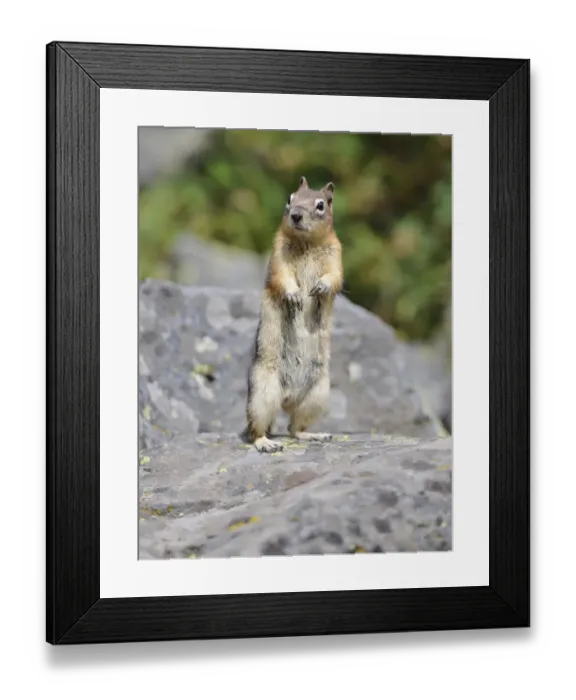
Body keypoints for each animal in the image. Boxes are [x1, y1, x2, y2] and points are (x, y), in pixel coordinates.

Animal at [245, 176, 343, 453]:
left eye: (322, 204)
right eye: (290, 199)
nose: (296, 215)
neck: (306, 243)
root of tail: (287, 398)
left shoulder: (336, 255)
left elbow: (334, 277)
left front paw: (320, 288)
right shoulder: (278, 255)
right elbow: (283, 277)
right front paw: (294, 296)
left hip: (318, 393)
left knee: (294, 428)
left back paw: (315, 435)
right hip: (263, 390)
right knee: (257, 428)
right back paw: (265, 443)